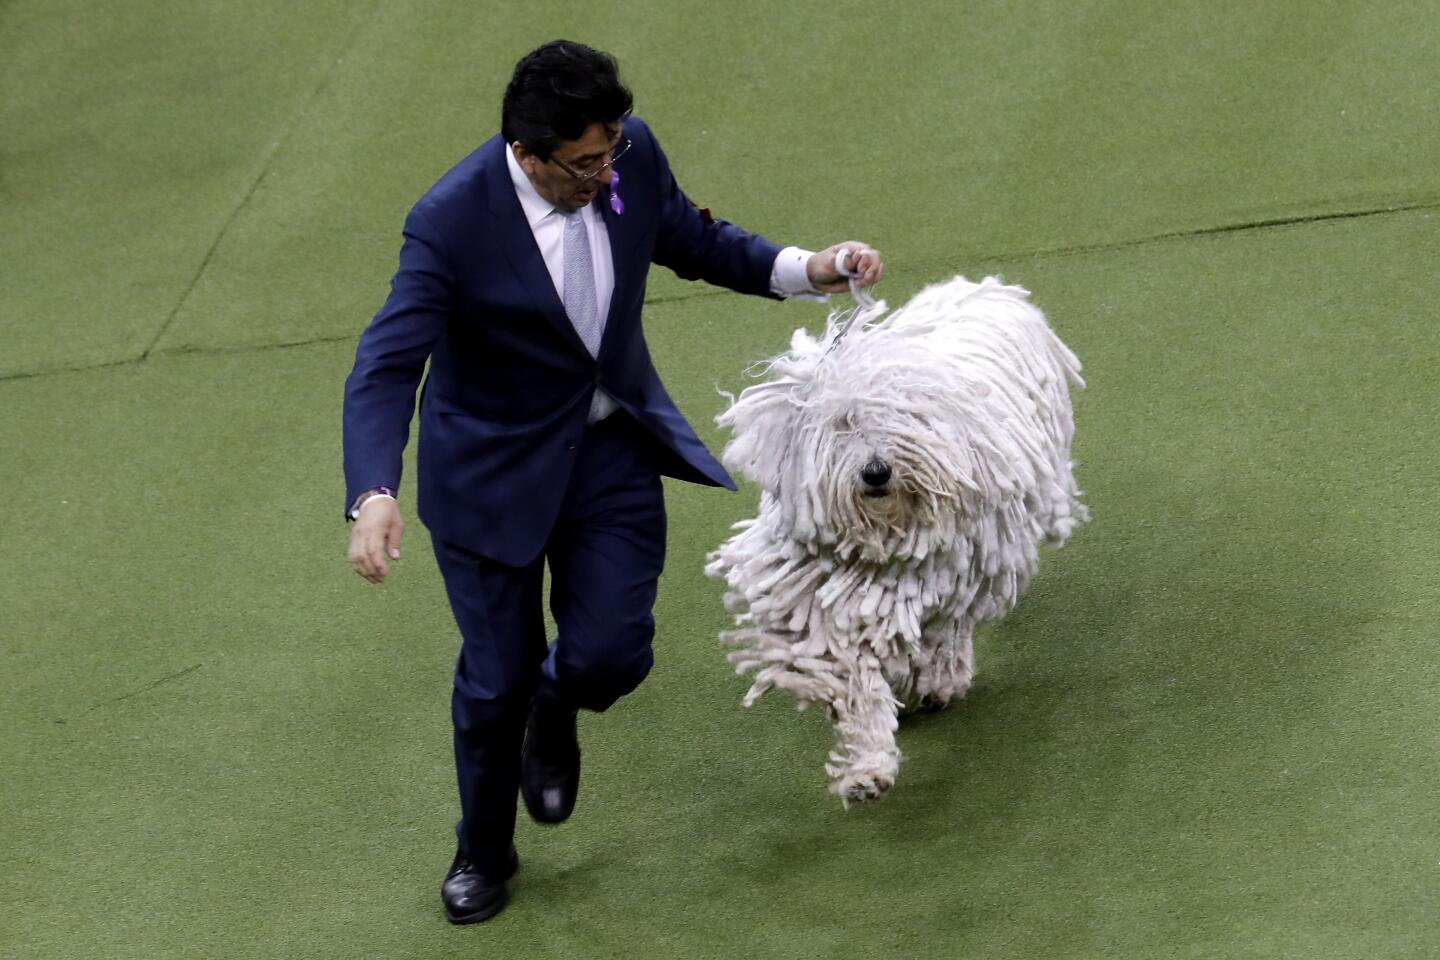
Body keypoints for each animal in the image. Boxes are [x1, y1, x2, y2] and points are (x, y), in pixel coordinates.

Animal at [702, 276, 1082, 805]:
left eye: (901, 418)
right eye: (842, 423)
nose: (876, 472)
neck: (888, 538)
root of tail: (985, 288)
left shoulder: (958, 572)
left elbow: (946, 631)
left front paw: (935, 679)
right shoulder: (828, 601)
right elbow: (853, 680)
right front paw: (868, 768)